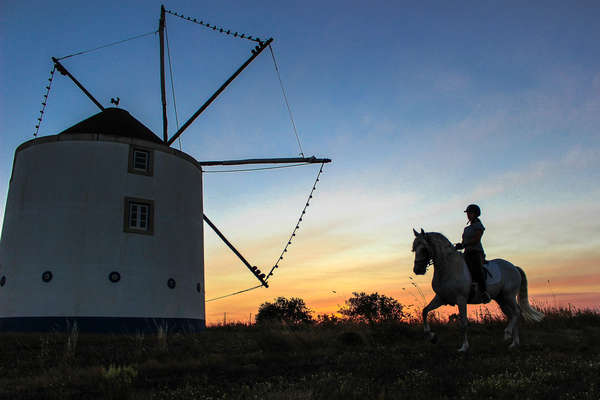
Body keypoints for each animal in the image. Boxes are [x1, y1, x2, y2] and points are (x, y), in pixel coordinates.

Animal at [412, 230, 544, 352]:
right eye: (414, 249)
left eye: (424, 249)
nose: (417, 270)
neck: (449, 267)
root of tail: (514, 267)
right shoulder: (441, 298)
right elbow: (425, 311)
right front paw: (432, 337)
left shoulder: (461, 299)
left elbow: (463, 323)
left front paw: (464, 347)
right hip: (501, 299)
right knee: (512, 315)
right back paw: (514, 343)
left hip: (509, 296)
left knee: (517, 312)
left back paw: (508, 334)